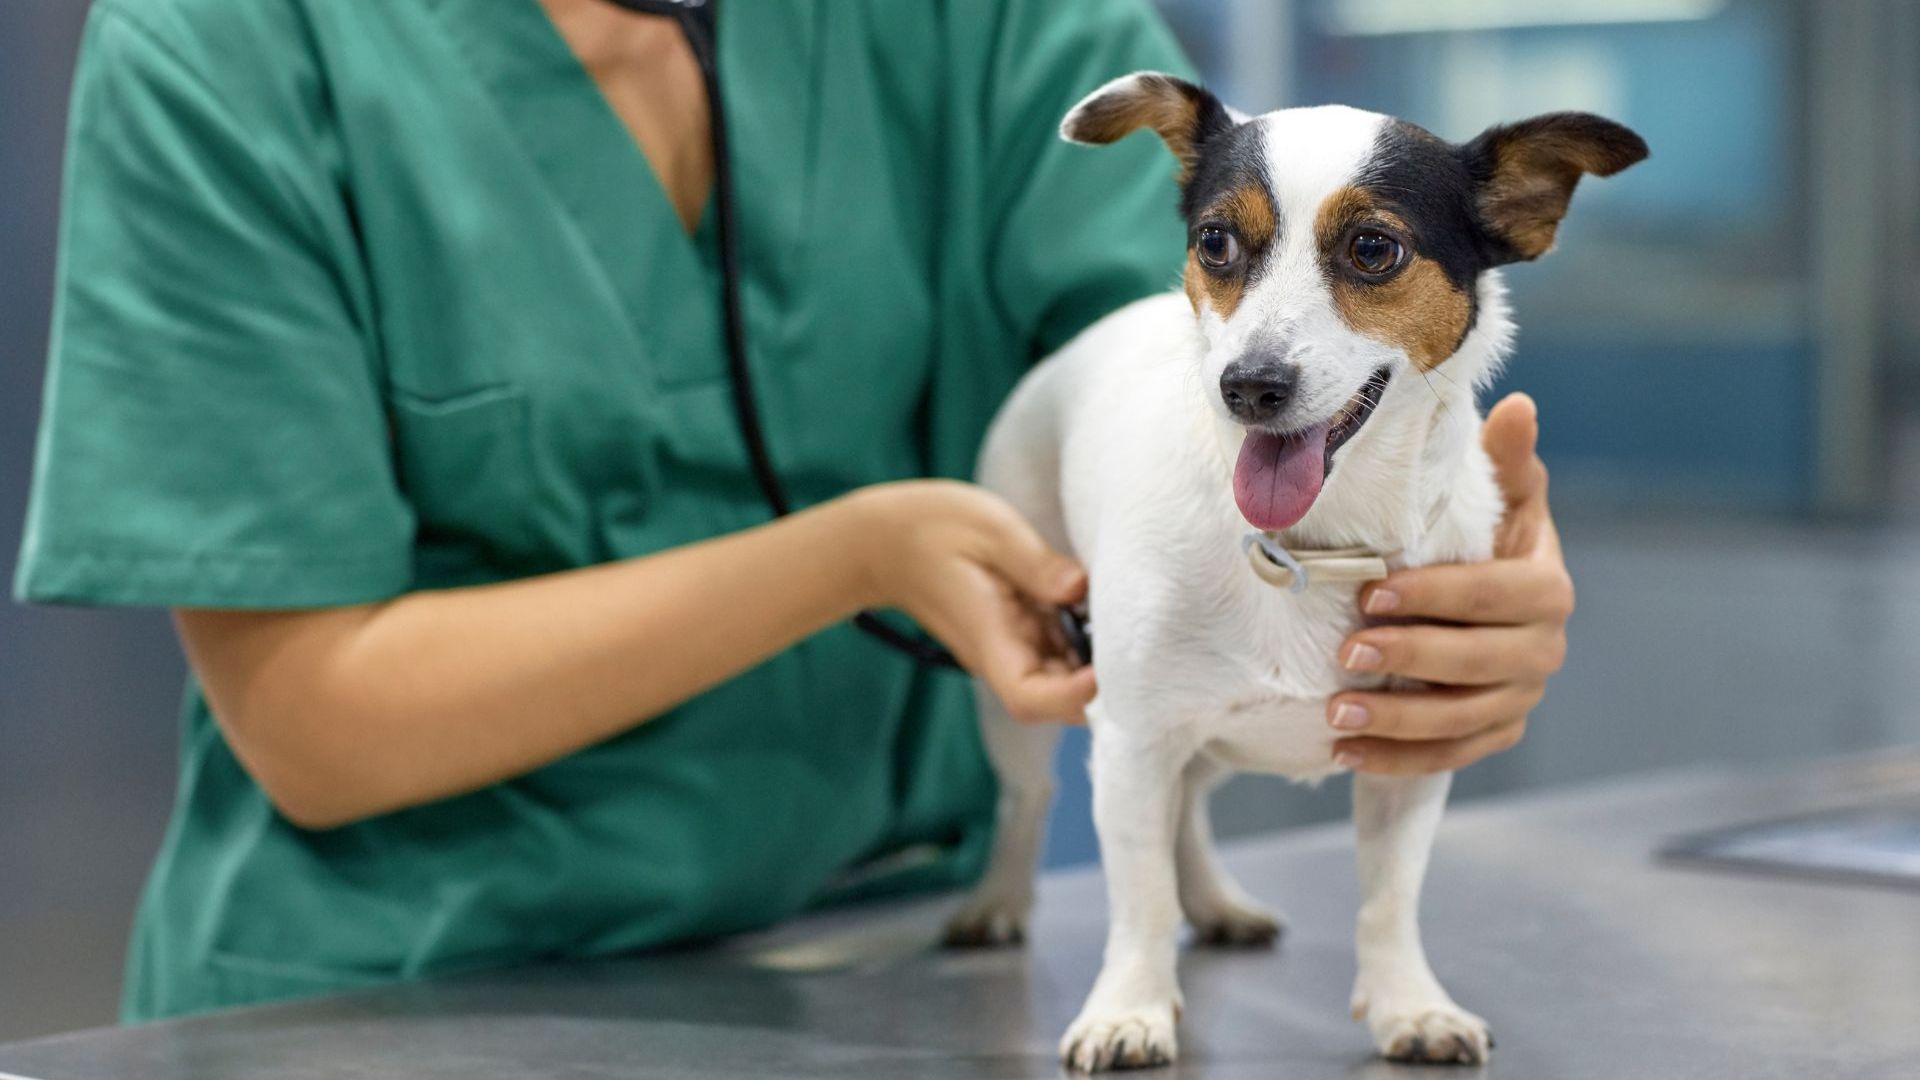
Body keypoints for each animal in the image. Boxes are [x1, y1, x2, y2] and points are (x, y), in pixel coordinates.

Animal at [944, 73, 1651, 1068]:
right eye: (1215, 242)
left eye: (1373, 249)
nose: (1249, 385)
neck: (1311, 546)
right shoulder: (1130, 739)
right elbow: (1137, 897)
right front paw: (1129, 1009)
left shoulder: (1412, 750)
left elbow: (1389, 899)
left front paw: (1408, 1006)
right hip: (1023, 686)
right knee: (1027, 797)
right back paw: (998, 901)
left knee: (1189, 810)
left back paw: (1216, 902)